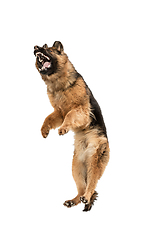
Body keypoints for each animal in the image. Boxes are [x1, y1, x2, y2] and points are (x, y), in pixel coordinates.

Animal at [33, 41, 109, 212]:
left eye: (46, 49)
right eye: (41, 47)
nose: (35, 48)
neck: (60, 84)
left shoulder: (80, 110)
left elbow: (70, 116)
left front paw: (63, 129)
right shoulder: (59, 112)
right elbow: (49, 118)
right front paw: (44, 129)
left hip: (94, 161)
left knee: (91, 185)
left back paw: (87, 197)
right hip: (77, 167)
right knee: (81, 188)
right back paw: (73, 201)